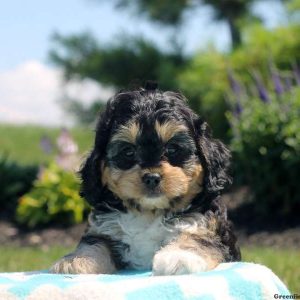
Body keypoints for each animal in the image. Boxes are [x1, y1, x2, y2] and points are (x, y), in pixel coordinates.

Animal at [50, 84, 240, 274]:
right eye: (128, 151)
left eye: (172, 148)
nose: (152, 178)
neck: (150, 212)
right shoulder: (103, 228)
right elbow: (95, 242)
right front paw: (75, 260)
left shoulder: (208, 226)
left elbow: (199, 238)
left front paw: (179, 258)